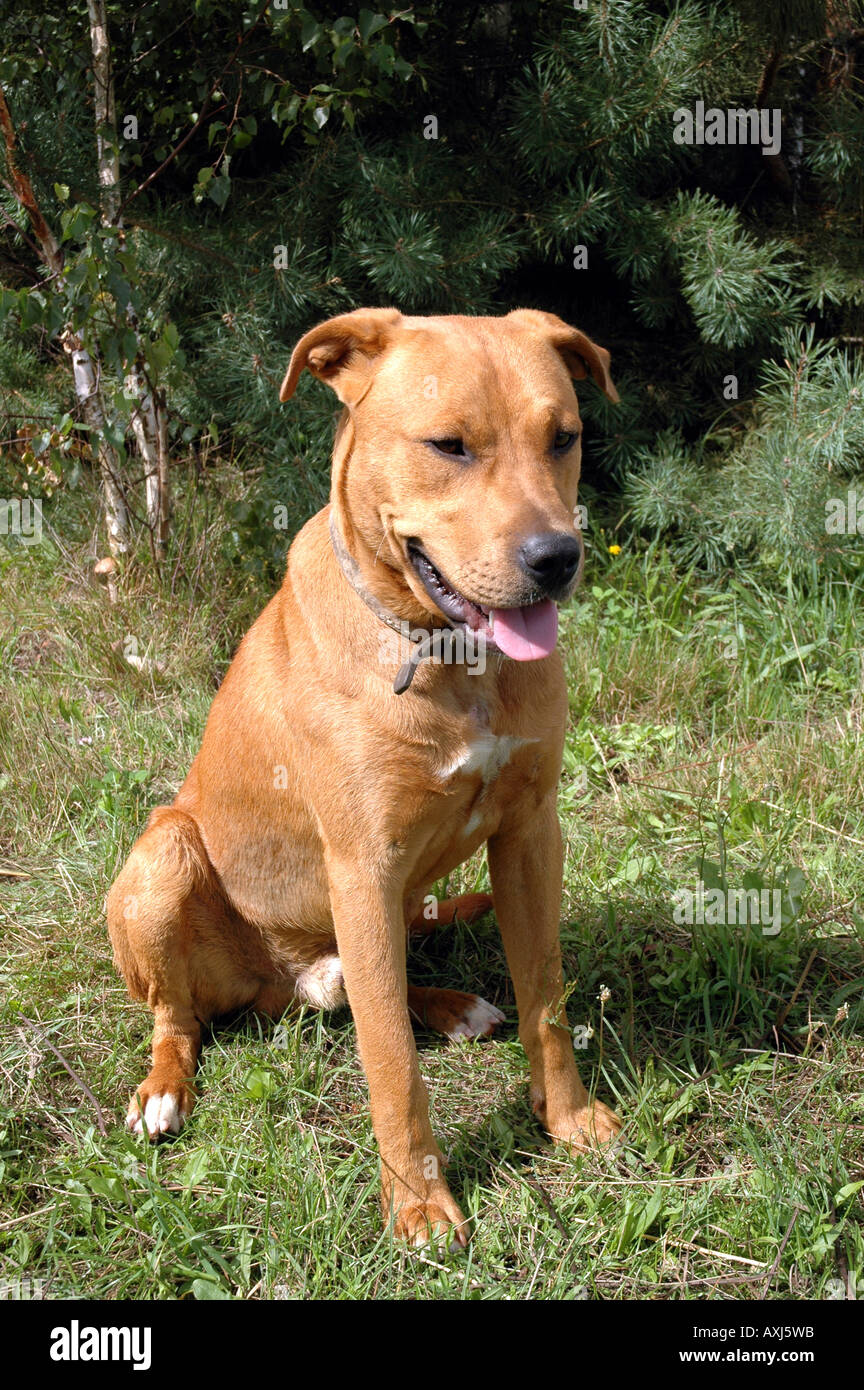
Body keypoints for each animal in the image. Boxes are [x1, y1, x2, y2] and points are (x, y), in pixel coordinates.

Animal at [106, 307, 622, 1251]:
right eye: (448, 444)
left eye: (563, 437)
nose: (556, 557)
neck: (448, 656)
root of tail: (283, 985)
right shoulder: (363, 865)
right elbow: (389, 1062)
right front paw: (418, 1201)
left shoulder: (531, 833)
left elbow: (546, 997)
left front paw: (568, 1120)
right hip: (164, 860)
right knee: (181, 1017)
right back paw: (164, 1089)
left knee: (377, 979)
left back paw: (452, 1005)